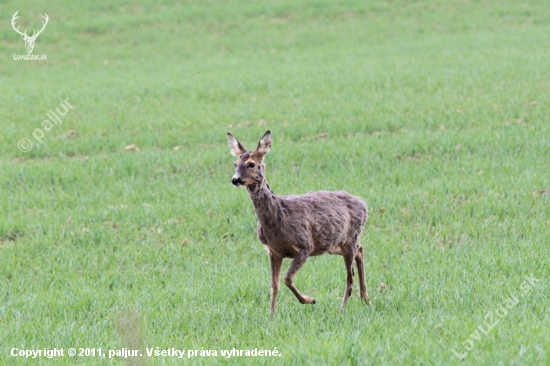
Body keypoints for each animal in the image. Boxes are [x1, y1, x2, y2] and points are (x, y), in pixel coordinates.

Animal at [226, 130, 374, 314]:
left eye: (251, 164)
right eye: (235, 163)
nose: (235, 179)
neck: (277, 218)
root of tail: (363, 203)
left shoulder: (305, 245)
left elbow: (287, 279)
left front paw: (310, 300)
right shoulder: (273, 251)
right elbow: (274, 286)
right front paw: (271, 315)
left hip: (350, 238)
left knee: (350, 275)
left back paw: (342, 309)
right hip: (336, 244)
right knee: (360, 251)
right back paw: (366, 299)